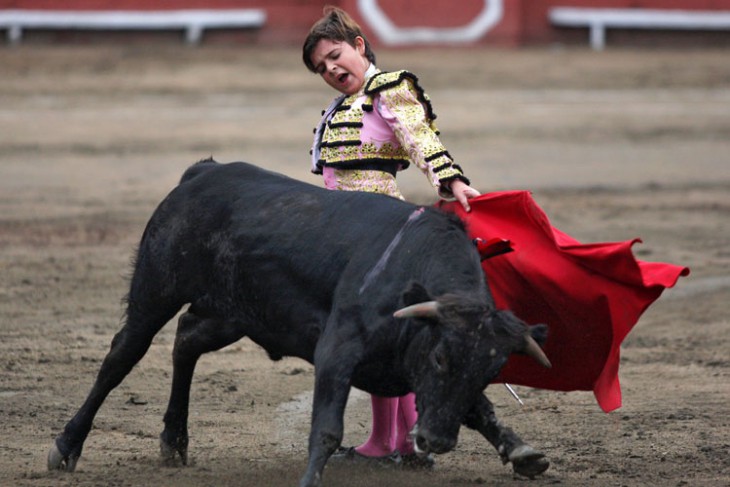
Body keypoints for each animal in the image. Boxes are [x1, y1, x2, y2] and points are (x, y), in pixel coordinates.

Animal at [48, 161, 548, 487]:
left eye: (491, 369)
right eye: (441, 357)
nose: (436, 440)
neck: (411, 269)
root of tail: (202, 172)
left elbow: (481, 409)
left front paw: (522, 452)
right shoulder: (338, 350)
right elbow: (326, 429)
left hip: (233, 314)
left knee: (186, 341)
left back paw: (174, 440)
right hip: (156, 289)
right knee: (121, 355)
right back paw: (66, 446)